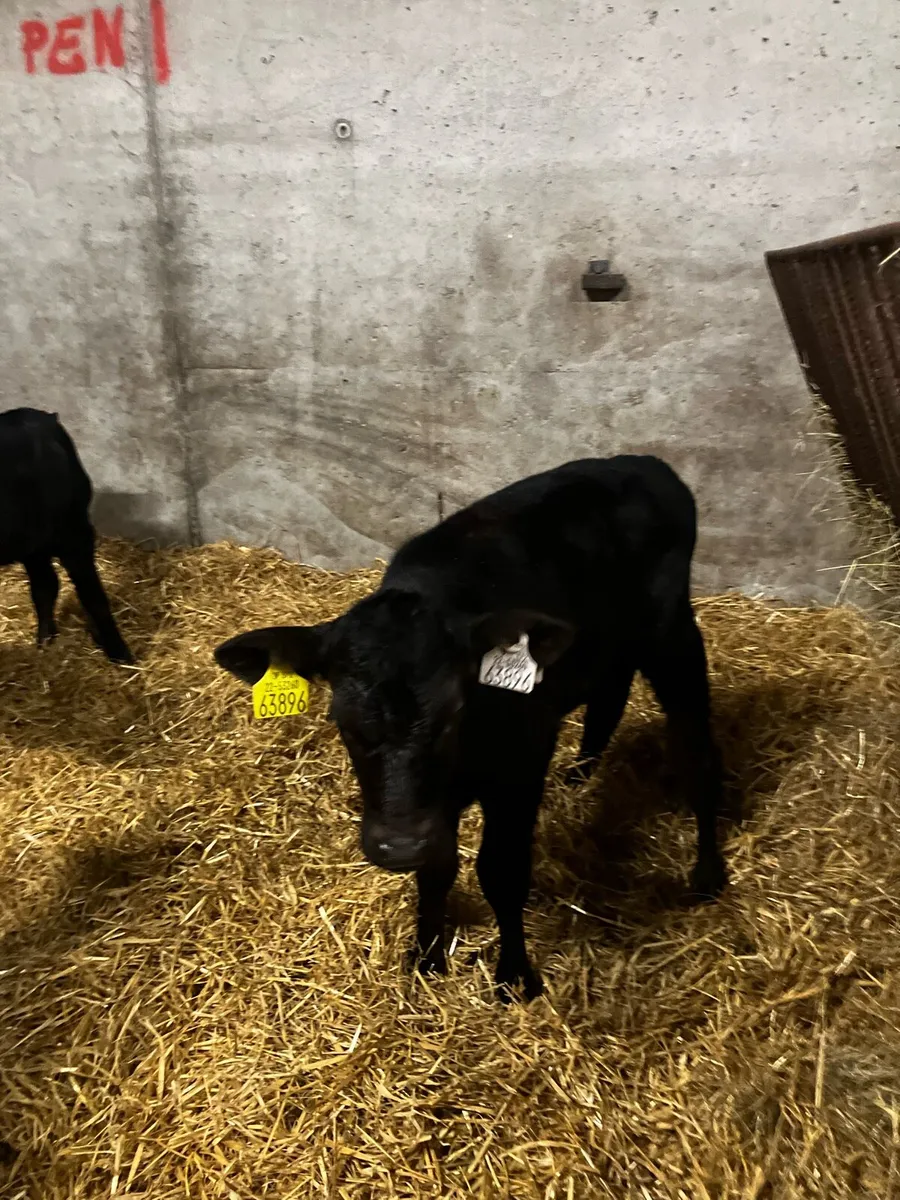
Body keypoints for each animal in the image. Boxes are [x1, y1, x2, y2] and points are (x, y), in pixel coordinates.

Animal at [0, 408, 132, 664]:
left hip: (71, 528)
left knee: (88, 591)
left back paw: (118, 651)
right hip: (34, 542)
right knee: (46, 584)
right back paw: (45, 639)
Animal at [214, 456, 727, 1001]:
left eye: (454, 714)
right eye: (342, 721)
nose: (398, 845)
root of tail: (643, 462)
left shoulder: (522, 765)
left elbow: (501, 871)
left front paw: (515, 975)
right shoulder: (431, 807)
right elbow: (436, 869)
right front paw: (426, 956)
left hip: (673, 637)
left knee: (697, 752)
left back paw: (707, 872)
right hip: (610, 648)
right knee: (610, 697)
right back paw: (580, 776)